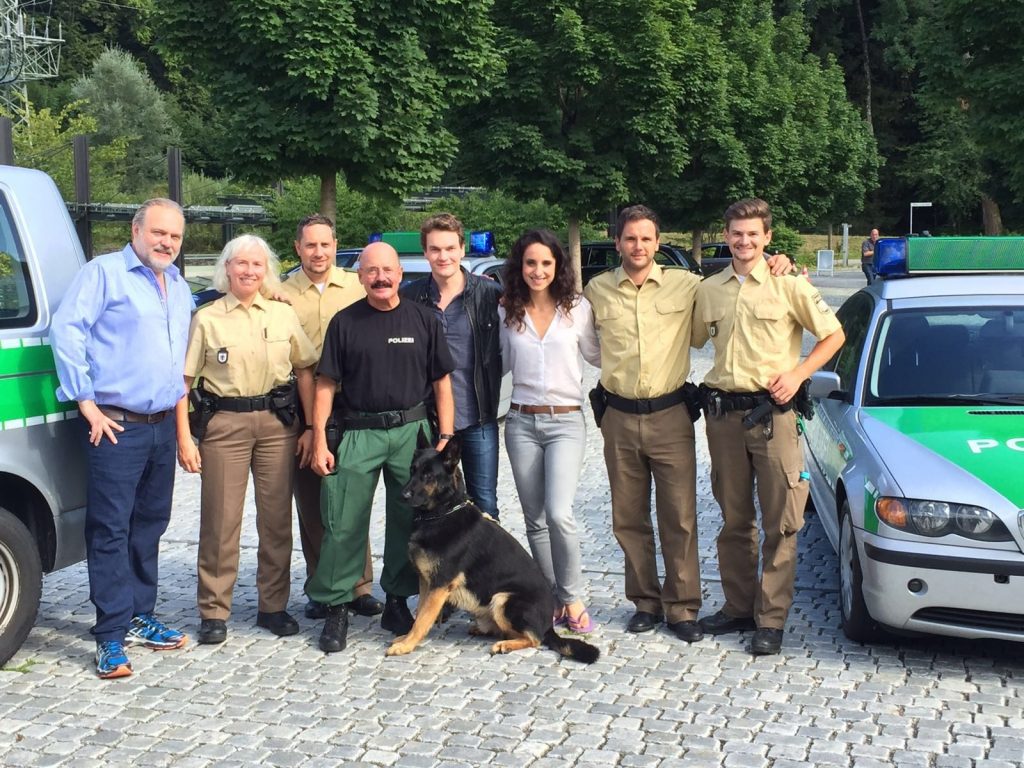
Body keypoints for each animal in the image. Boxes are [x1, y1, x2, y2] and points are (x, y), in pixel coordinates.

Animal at [387, 434, 602, 667]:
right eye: (412, 470)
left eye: (428, 475)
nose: (403, 495)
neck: (443, 513)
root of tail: (548, 626)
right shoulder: (426, 582)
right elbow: (419, 614)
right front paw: (406, 638)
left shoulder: (440, 585)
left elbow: (423, 618)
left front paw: (407, 645)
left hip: (503, 599)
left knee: (534, 639)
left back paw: (506, 645)